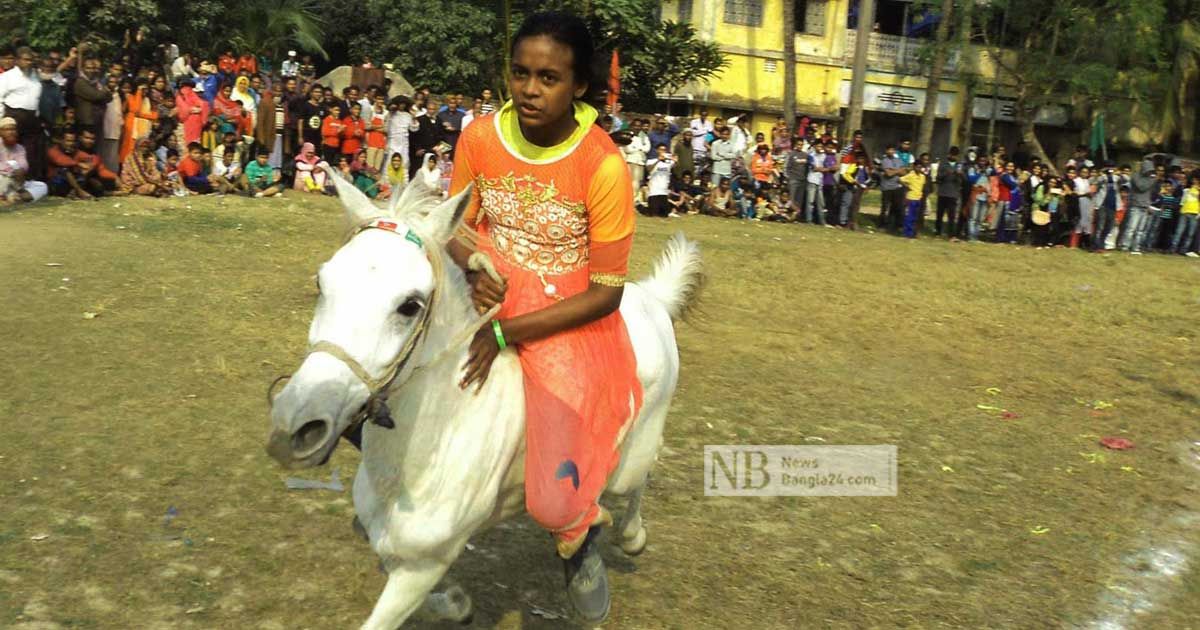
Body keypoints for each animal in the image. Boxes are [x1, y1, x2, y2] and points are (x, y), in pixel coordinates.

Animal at [266, 169, 700, 624]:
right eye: (322, 282)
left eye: (410, 305)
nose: (296, 426)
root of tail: (653, 298)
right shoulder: (395, 547)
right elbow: (431, 590)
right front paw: (458, 603)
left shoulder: (423, 565)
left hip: (630, 462)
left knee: (634, 478)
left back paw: (628, 540)